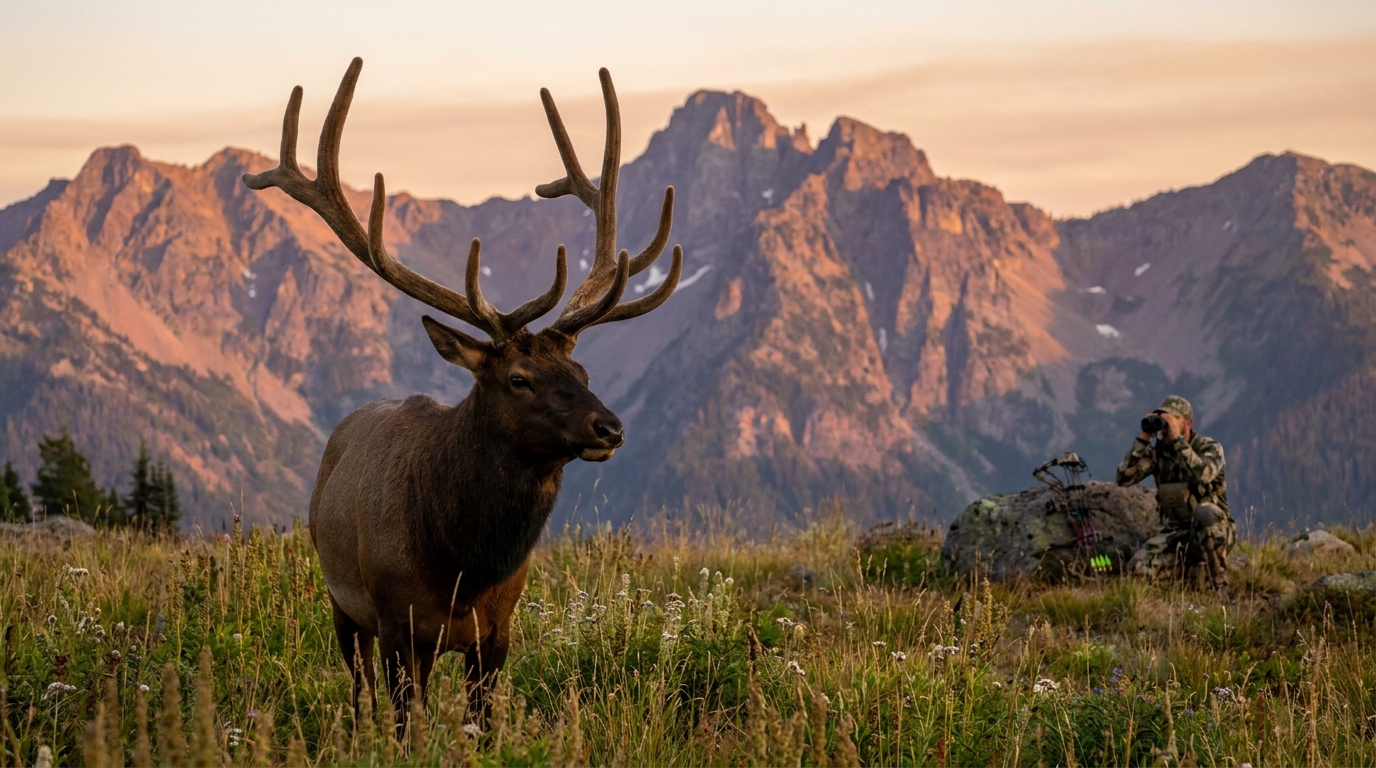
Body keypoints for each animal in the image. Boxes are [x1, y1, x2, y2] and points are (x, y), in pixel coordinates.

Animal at [241, 57, 681, 726]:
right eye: (519, 378)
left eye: (582, 374)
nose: (611, 427)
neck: (463, 564)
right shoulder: (397, 625)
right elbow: (405, 726)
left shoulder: (496, 634)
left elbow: (482, 727)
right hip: (343, 604)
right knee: (360, 692)